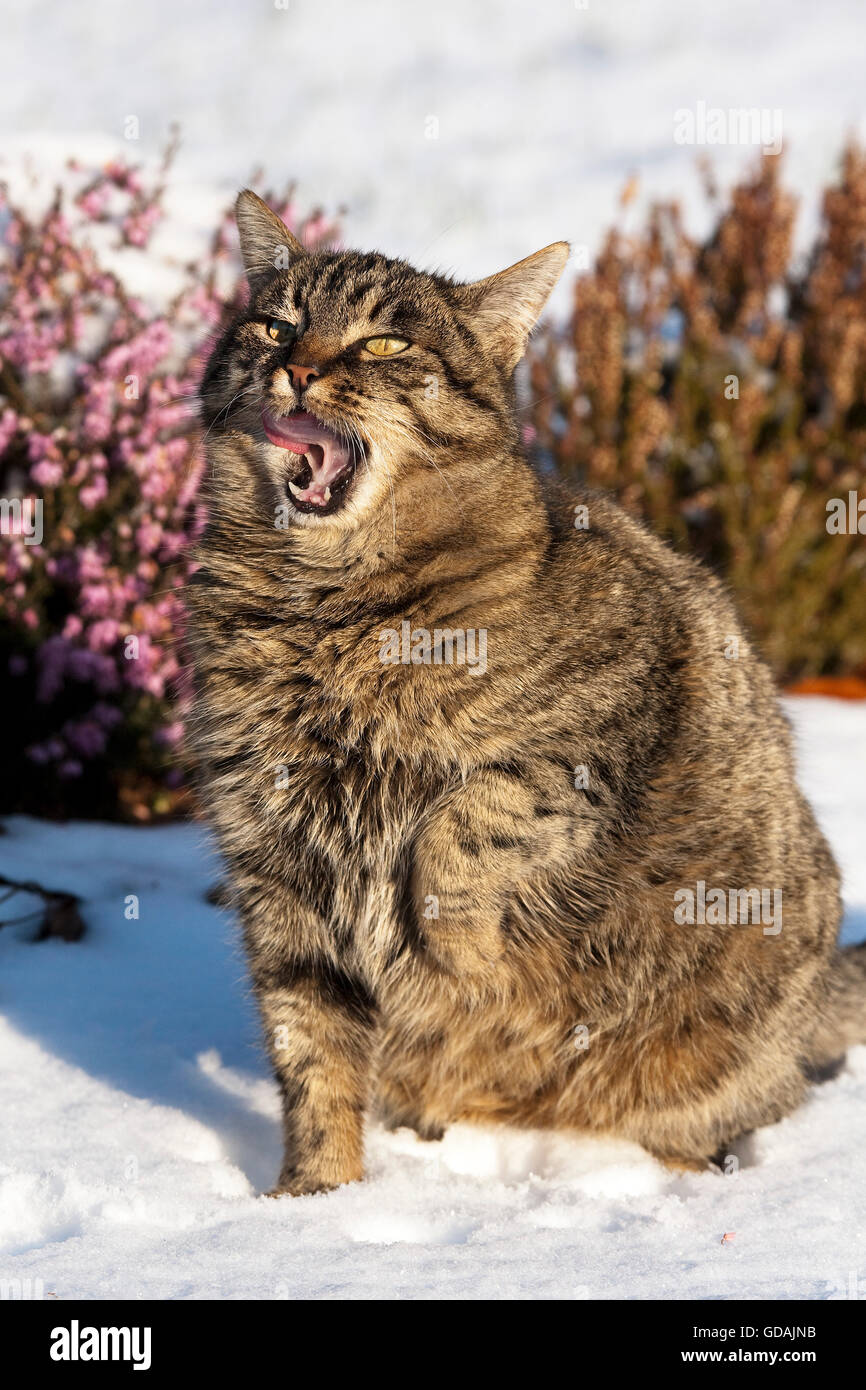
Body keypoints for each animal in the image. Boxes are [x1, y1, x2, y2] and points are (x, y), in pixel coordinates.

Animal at [186, 193, 861, 1195]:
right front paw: (317, 1199)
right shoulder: (275, 867)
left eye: (386, 343)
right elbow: (311, 1055)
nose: (297, 368)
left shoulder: (596, 736)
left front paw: (454, 950)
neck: (325, 609)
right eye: (275, 325)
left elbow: (465, 825)